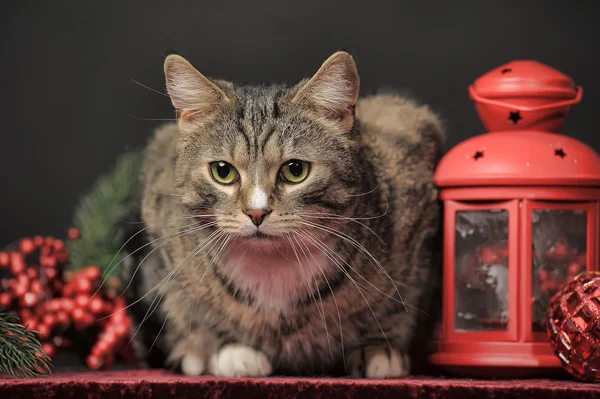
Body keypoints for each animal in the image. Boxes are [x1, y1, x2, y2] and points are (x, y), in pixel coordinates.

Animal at [125, 50, 446, 378]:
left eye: (295, 170)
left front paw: (379, 347)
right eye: (222, 171)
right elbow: (183, 305)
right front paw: (223, 348)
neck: (273, 268)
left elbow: (402, 303)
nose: (256, 212)